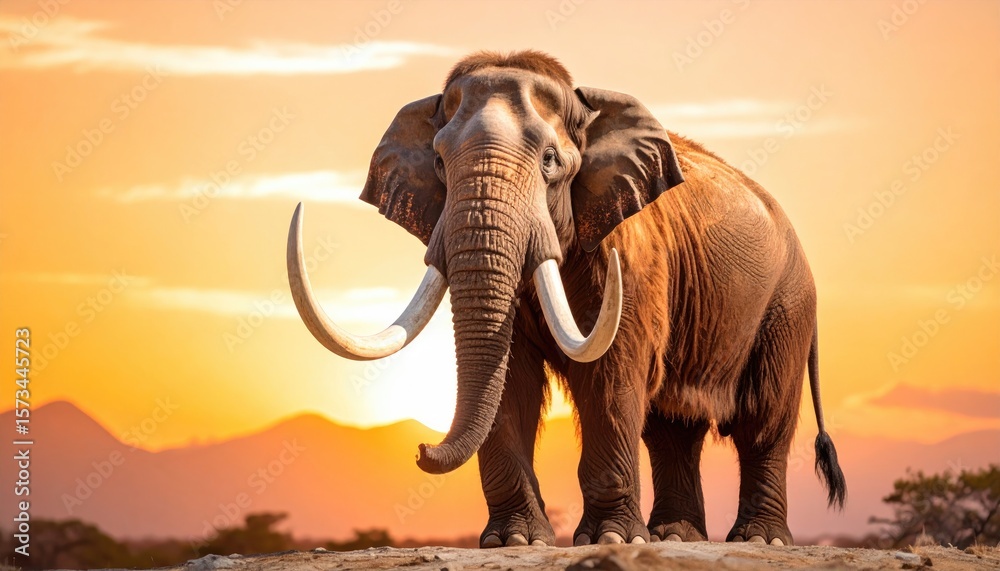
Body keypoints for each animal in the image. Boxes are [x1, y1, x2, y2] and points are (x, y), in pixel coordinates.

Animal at [286, 50, 846, 547]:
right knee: (672, 428)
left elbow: (611, 372)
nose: (422, 449)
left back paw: (760, 539)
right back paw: (676, 535)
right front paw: (514, 541)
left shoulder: (628, 250)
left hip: (788, 305)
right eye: (440, 164)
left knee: (763, 422)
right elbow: (510, 376)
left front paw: (612, 539)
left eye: (551, 161)